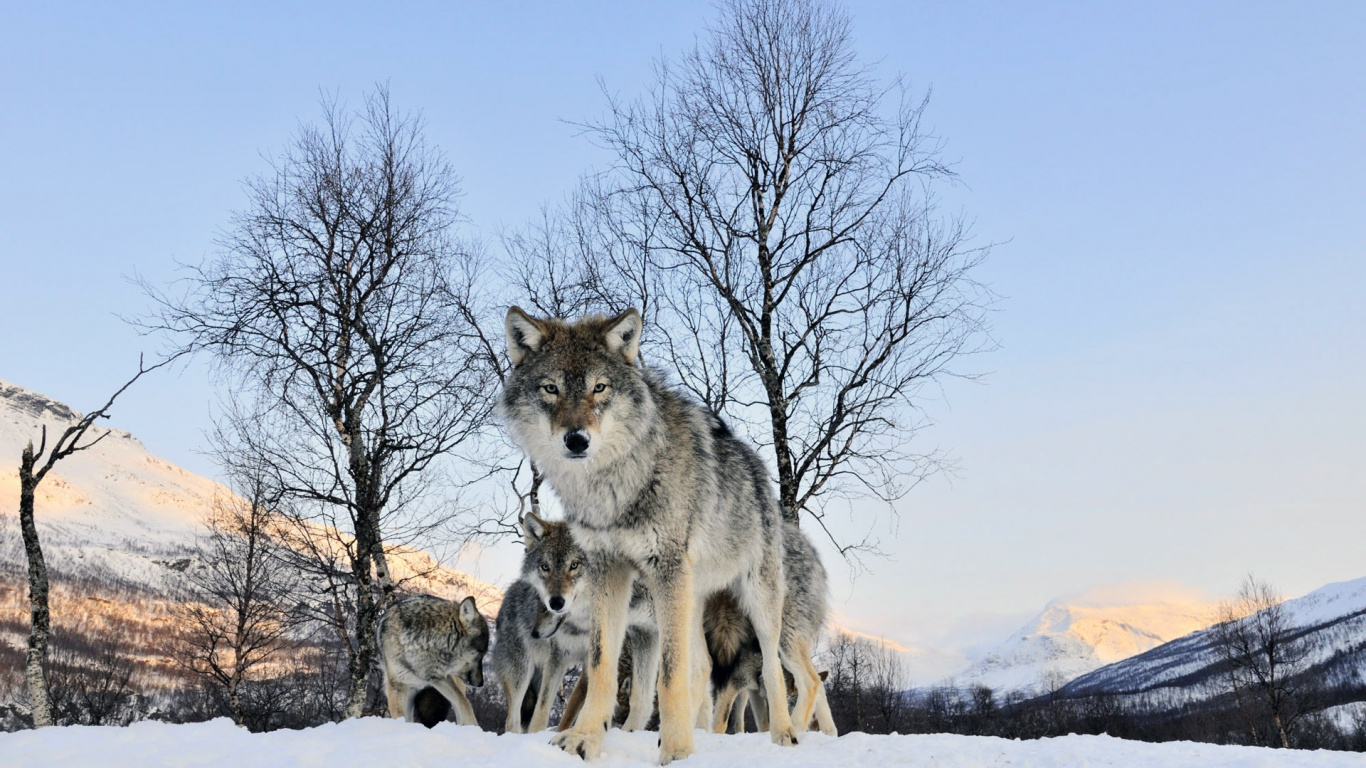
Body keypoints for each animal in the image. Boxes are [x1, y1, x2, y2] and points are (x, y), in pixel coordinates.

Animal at [377, 594, 489, 727]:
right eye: (481, 653)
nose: (481, 683)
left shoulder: (441, 678)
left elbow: (464, 703)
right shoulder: (398, 687)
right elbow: (402, 718)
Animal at [491, 513, 658, 734]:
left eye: (574, 565)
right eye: (545, 567)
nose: (555, 603)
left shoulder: (589, 668)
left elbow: (570, 712)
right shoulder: (558, 658)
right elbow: (543, 711)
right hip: (520, 672)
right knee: (512, 720)